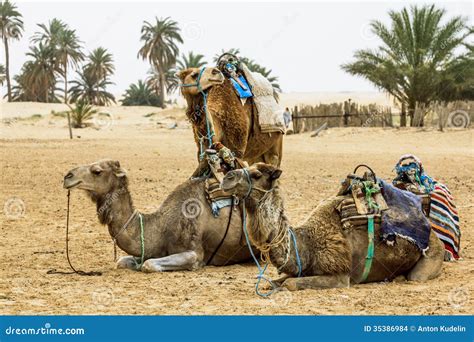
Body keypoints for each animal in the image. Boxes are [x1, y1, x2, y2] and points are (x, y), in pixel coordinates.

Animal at [65, 160, 256, 272]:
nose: (67, 176)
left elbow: (148, 265)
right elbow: (122, 261)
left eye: (97, 171)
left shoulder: (195, 253)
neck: (162, 226)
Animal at [221, 164, 444, 292]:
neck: (307, 244)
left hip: (431, 256)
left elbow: (289, 284)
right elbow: (274, 281)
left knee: (416, 276)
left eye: (257, 174)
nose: (227, 177)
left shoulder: (340, 276)